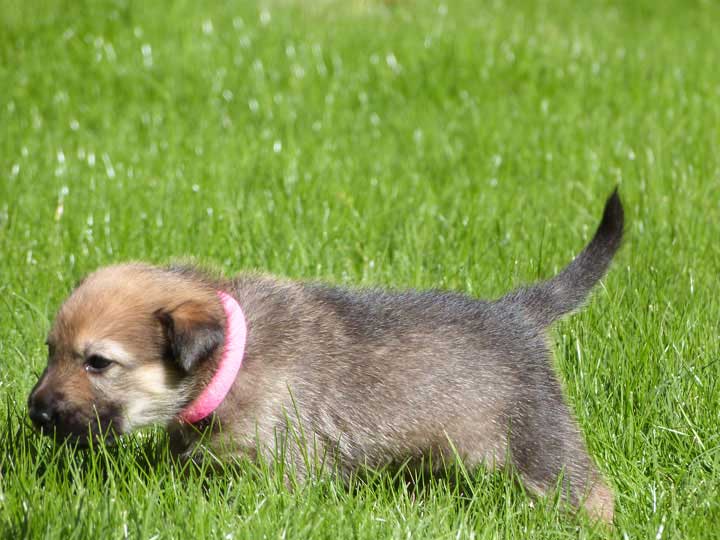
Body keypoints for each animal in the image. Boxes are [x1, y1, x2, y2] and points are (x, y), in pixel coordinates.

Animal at [29, 191, 624, 524]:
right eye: (50, 350)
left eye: (98, 362)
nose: (35, 411)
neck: (230, 361)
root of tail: (517, 313)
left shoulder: (286, 463)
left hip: (537, 436)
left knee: (591, 491)